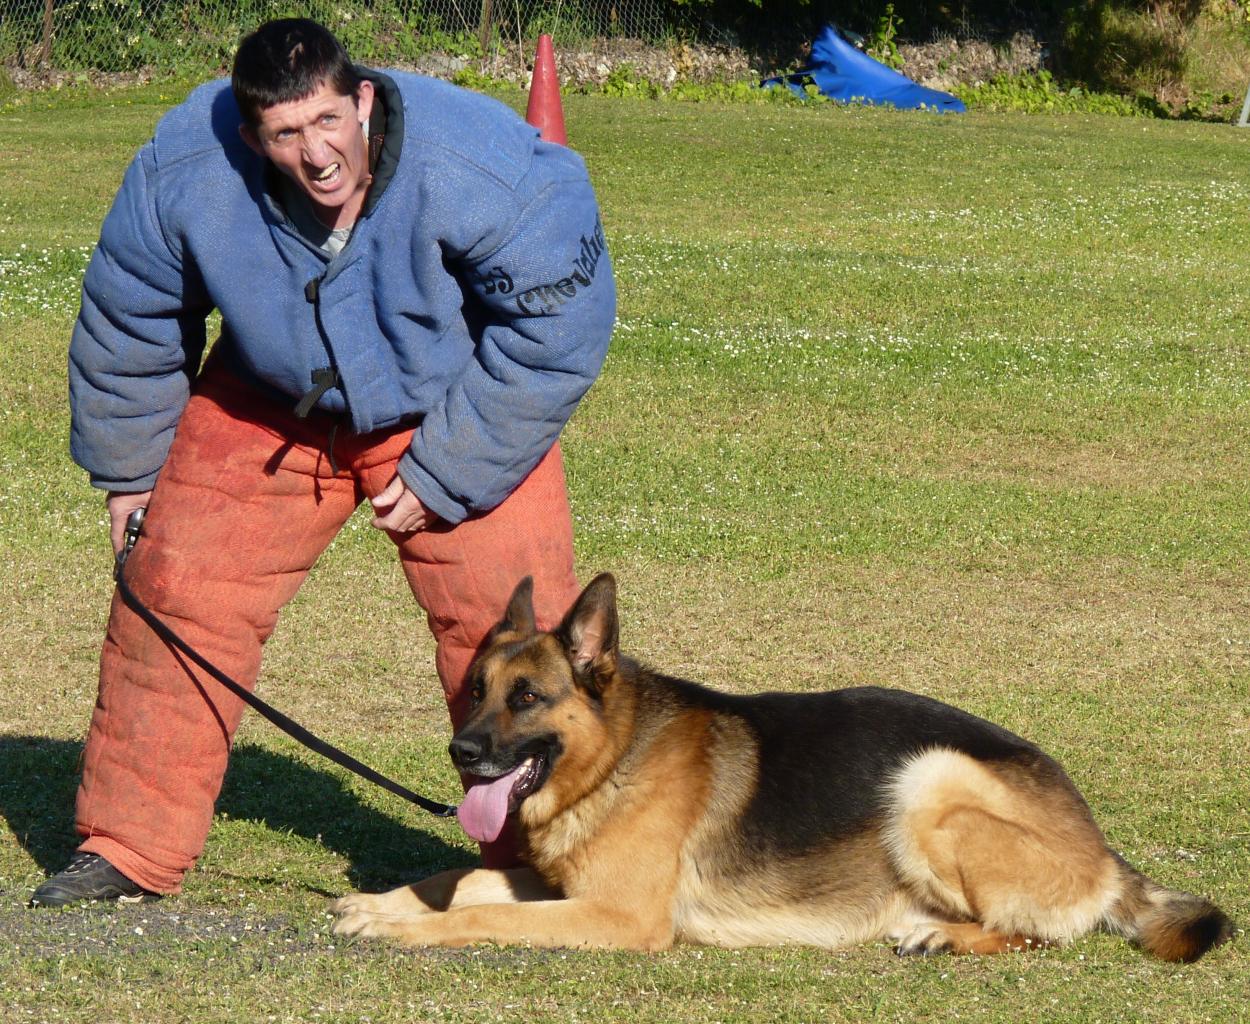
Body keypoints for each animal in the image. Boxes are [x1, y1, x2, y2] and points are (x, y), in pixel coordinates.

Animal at [330, 577, 1230, 960]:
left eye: (527, 698)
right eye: (473, 692)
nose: (461, 753)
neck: (615, 757)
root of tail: (1102, 846)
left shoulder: (621, 916)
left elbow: (479, 912)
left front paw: (403, 927)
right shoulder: (564, 884)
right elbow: (462, 880)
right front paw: (382, 904)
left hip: (928, 781)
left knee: (1035, 932)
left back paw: (941, 934)